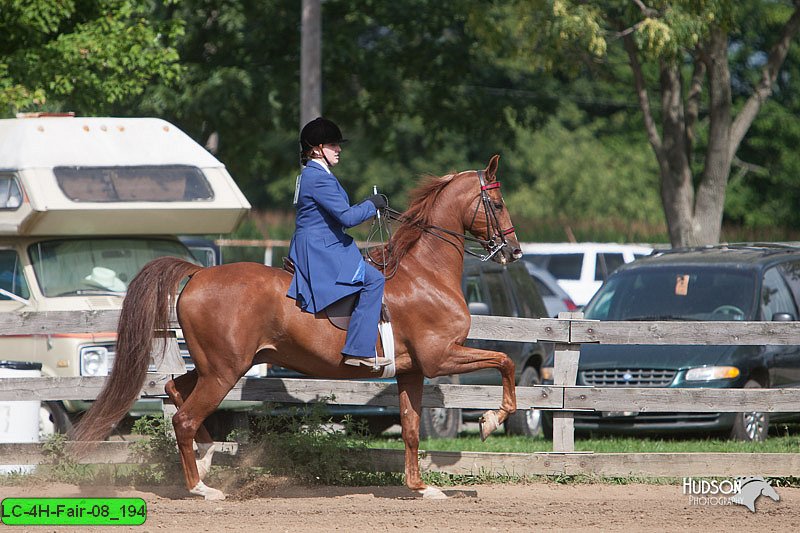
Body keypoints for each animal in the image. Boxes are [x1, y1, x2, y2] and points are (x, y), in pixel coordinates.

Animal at [73, 153, 524, 498]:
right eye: (498, 202)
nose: (514, 251)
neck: (425, 274)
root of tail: (199, 274)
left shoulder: (413, 371)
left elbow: (411, 429)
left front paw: (420, 487)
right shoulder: (440, 357)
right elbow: (504, 363)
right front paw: (490, 421)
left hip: (211, 366)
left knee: (174, 391)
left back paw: (206, 457)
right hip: (224, 370)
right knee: (184, 417)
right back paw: (202, 488)